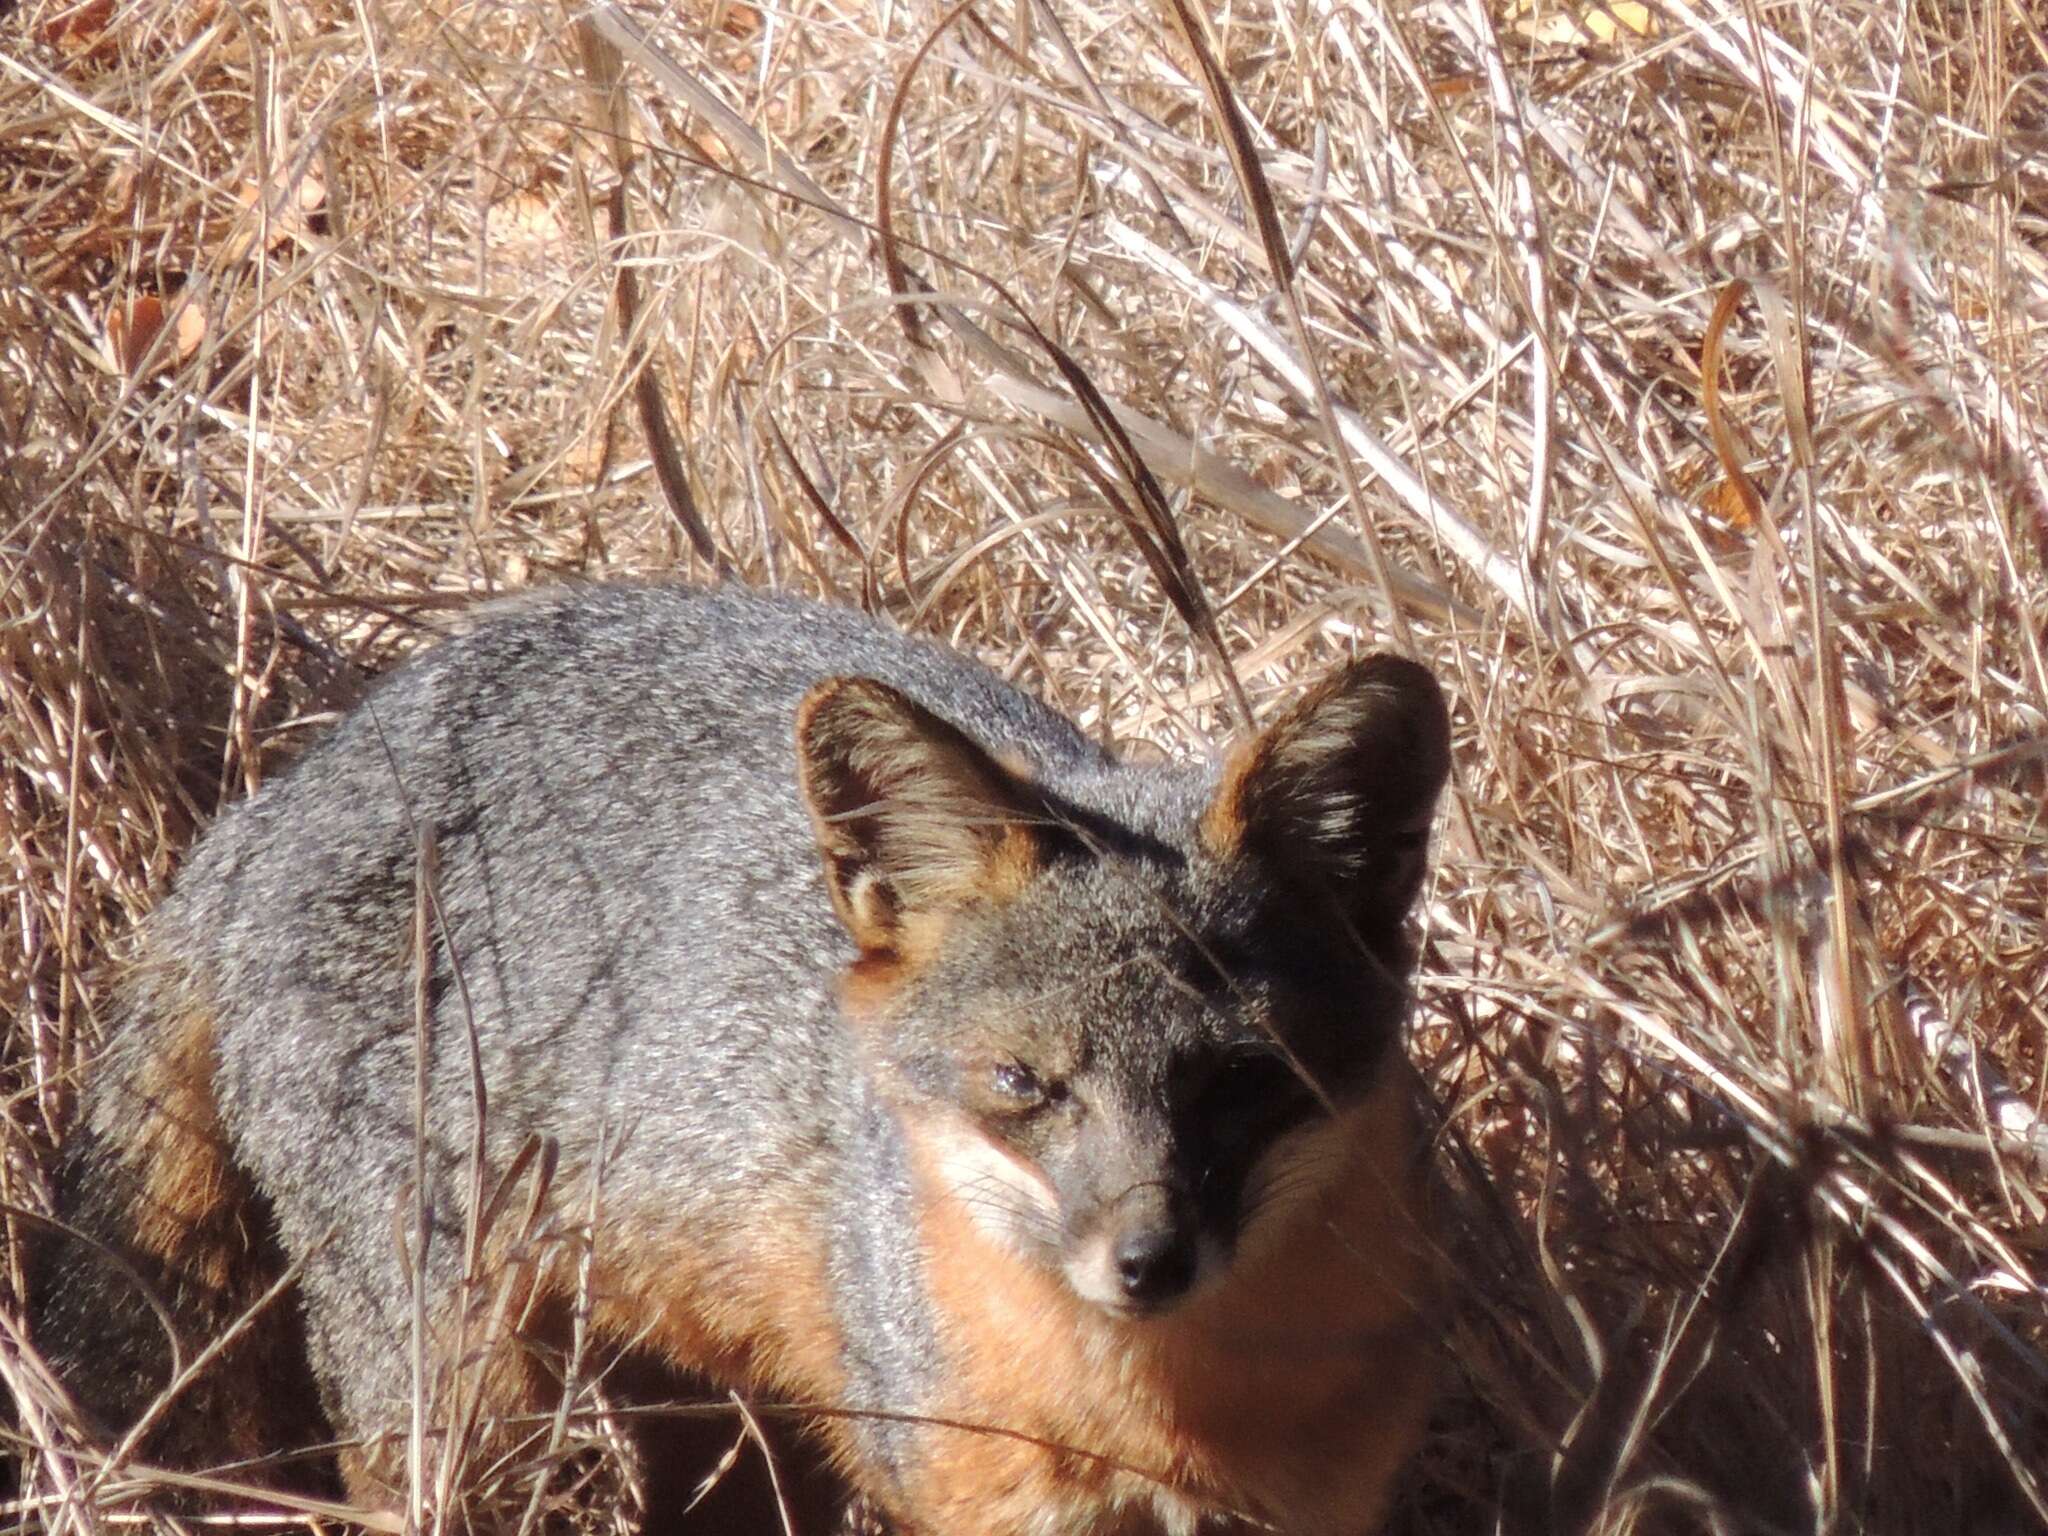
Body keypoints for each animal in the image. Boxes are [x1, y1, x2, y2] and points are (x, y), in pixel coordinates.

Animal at [24, 581, 1449, 1531]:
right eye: (1021, 1086)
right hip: (463, 1390)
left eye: (1245, 1081)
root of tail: (266, 810)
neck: (1159, 1417)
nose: (1147, 1261)